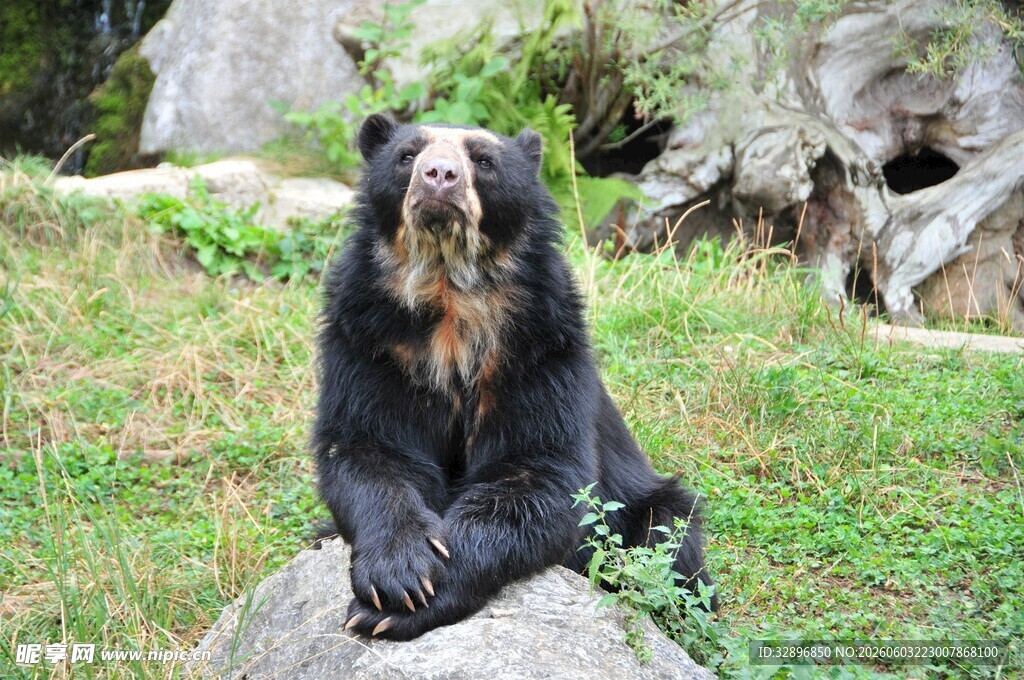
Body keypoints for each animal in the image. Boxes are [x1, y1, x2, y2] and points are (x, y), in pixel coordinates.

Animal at [313, 113, 716, 641]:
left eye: (484, 161)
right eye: (407, 155)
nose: (438, 176)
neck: (449, 290)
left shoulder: (538, 348)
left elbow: (538, 473)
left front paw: (397, 607)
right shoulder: (371, 339)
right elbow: (368, 447)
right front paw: (399, 573)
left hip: (647, 512)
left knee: (671, 548)